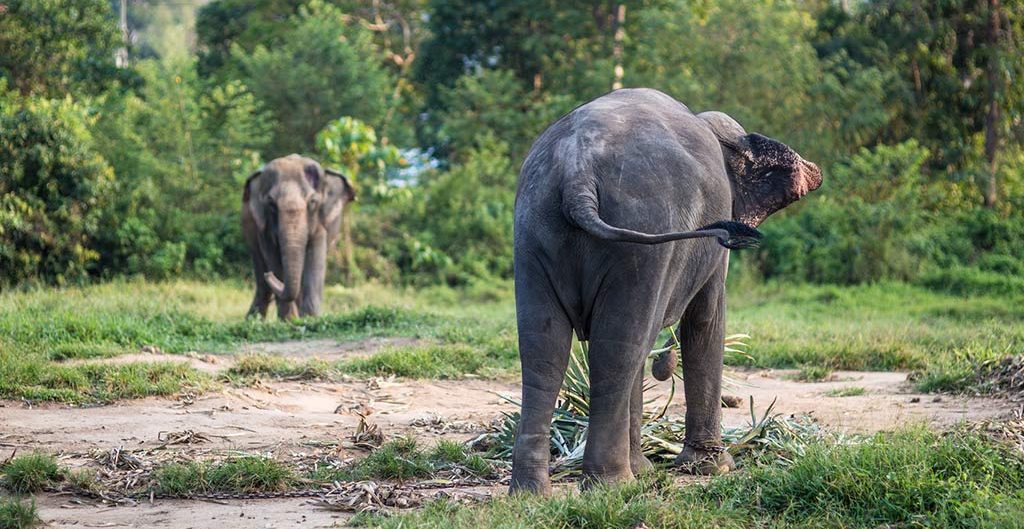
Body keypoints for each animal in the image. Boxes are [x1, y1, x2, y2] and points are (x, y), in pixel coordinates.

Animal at [240, 152, 356, 317]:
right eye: (271, 204)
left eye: (313, 202)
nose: (269, 274)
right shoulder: (264, 226)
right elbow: (273, 258)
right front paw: (290, 320)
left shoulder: (320, 224)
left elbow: (315, 258)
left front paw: (309, 318)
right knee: (262, 280)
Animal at [512, 88, 823, 493]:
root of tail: (577, 175)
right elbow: (706, 320)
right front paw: (715, 468)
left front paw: (649, 468)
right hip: (639, 236)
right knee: (619, 347)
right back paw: (615, 486)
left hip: (534, 231)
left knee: (545, 350)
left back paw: (533, 493)